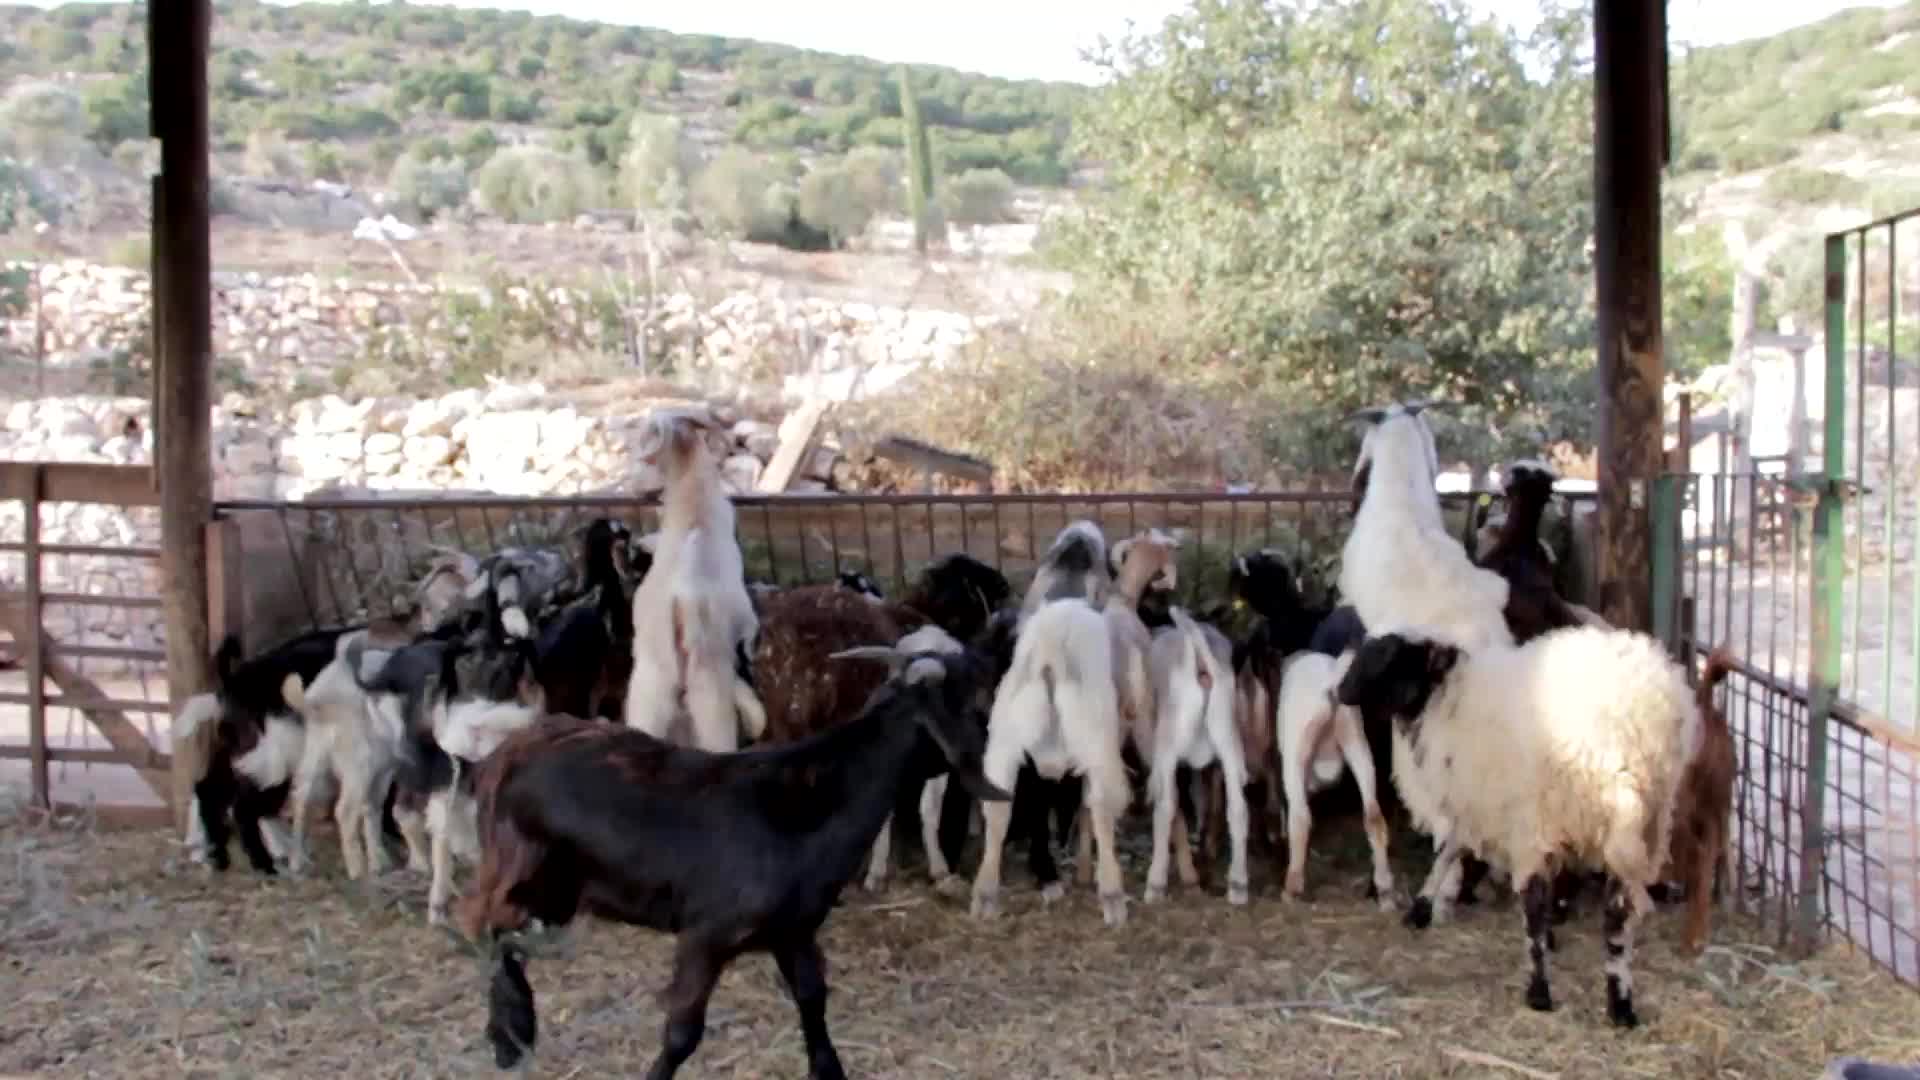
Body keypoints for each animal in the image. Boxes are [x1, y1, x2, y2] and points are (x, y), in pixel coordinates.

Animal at [453, 647, 1011, 1076]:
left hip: (557, 888)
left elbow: (812, 997)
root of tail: (500, 756)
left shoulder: (793, 930)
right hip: (521, 867)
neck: (813, 799)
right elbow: (682, 1033)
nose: (992, 756)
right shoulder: (707, 935)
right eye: (975, 705)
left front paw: (829, 1069)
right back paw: (509, 1029)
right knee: (480, 919)